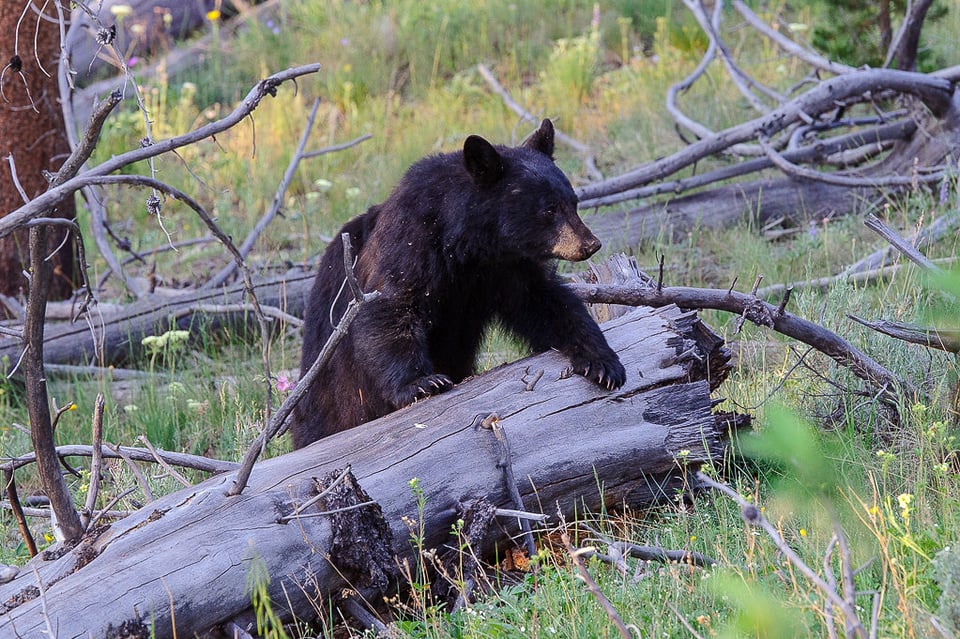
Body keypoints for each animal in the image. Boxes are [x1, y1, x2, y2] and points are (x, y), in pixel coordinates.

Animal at [288, 121, 628, 450]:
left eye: (573, 202)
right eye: (549, 209)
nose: (591, 244)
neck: (467, 244)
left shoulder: (504, 268)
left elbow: (546, 302)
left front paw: (602, 362)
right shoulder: (409, 242)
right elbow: (388, 308)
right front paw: (422, 383)